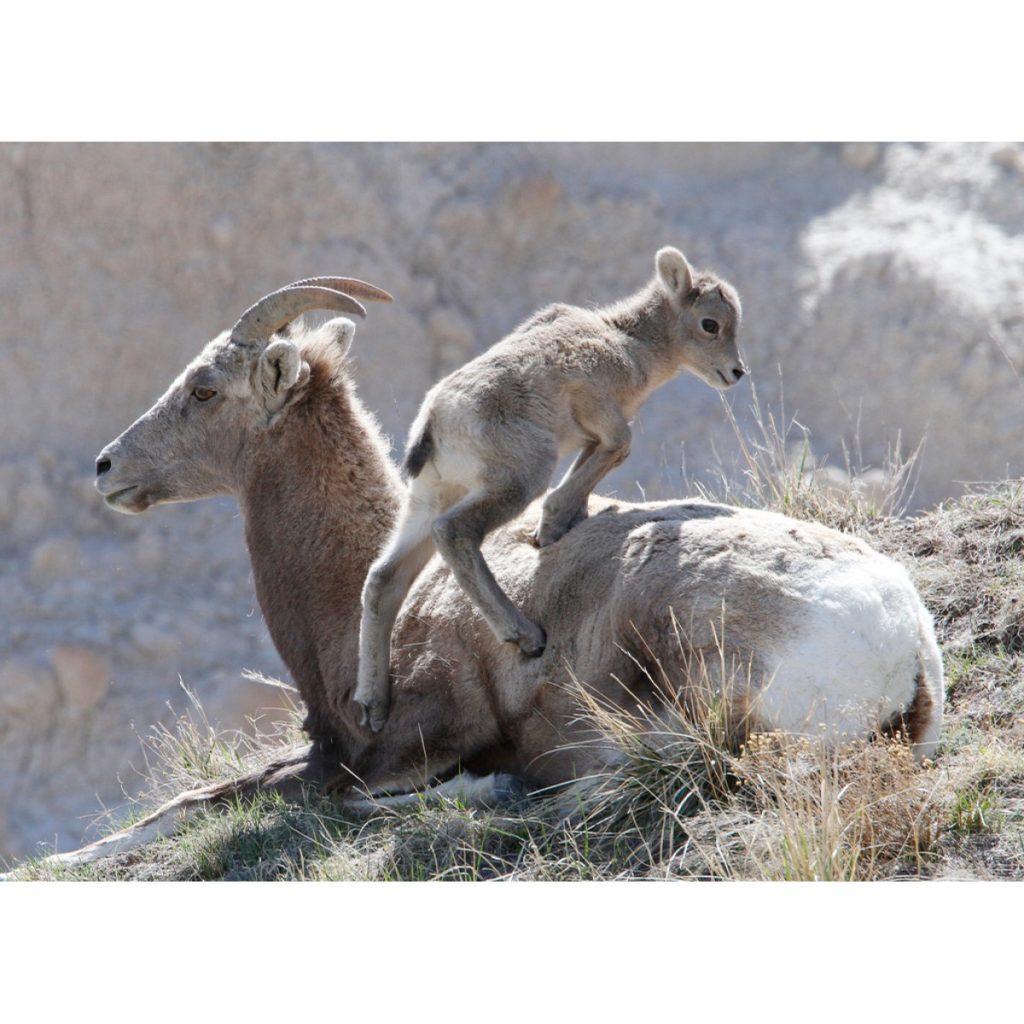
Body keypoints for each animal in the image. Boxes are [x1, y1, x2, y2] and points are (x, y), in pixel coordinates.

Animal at [358, 244, 745, 733]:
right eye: (710, 324)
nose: (736, 372)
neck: (630, 346)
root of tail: (434, 421)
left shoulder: (589, 440)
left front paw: (566, 522)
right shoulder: (600, 413)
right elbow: (620, 448)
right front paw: (550, 528)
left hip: (428, 500)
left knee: (383, 578)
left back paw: (372, 706)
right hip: (520, 477)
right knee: (454, 533)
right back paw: (524, 635)